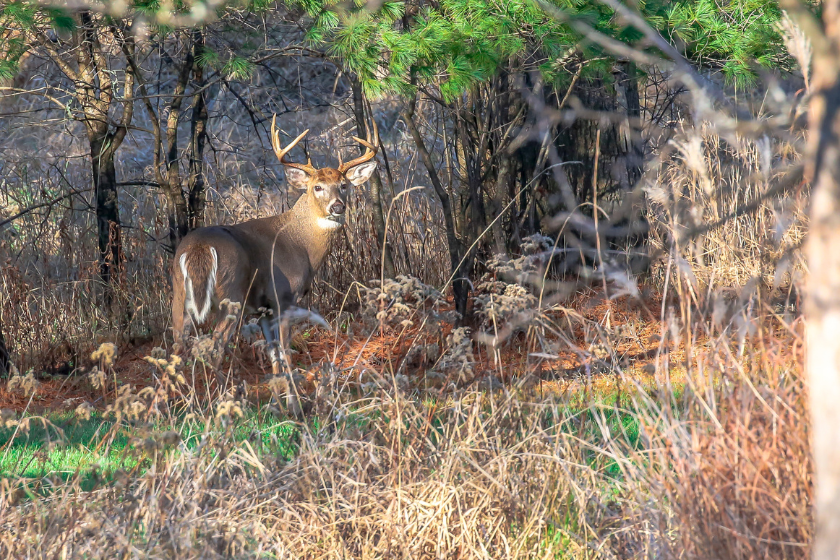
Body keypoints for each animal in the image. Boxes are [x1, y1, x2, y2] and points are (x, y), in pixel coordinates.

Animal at [172, 112, 378, 406]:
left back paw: (175, 402)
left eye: (344, 185)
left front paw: (279, 399)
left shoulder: (263, 309)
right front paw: (294, 402)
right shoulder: (283, 298)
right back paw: (224, 399)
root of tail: (200, 248)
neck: (301, 243)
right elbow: (286, 353)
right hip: (231, 294)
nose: (338, 206)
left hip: (180, 294)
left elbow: (273, 356)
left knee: (177, 346)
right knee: (213, 347)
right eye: (317, 187)